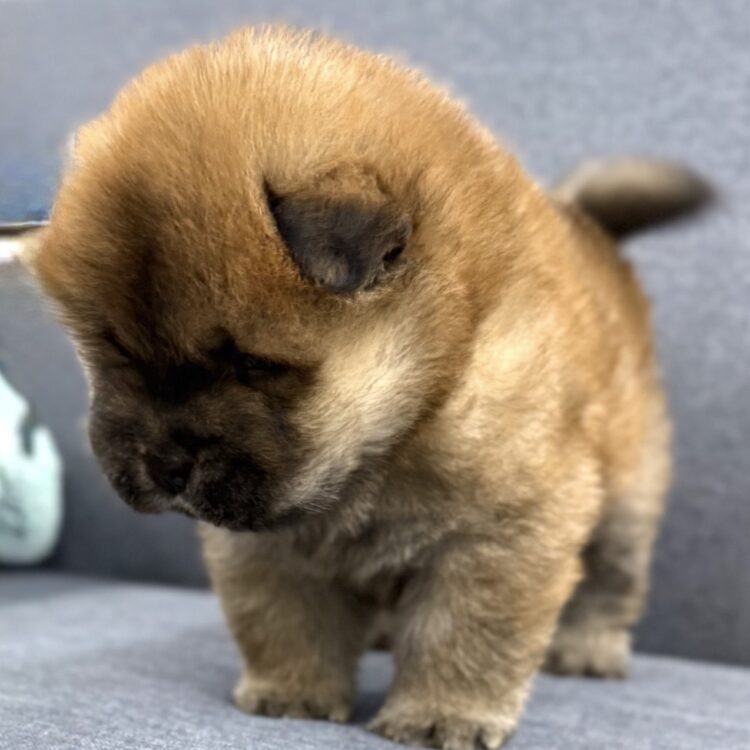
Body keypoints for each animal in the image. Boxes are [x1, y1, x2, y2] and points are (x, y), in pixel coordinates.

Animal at [25, 26, 709, 749]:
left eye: (251, 366)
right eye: (114, 354)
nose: (164, 463)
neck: (406, 421)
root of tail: (594, 233)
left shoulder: (502, 531)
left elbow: (467, 635)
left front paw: (442, 714)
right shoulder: (268, 541)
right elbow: (283, 617)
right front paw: (292, 693)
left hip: (630, 493)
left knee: (612, 578)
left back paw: (587, 649)